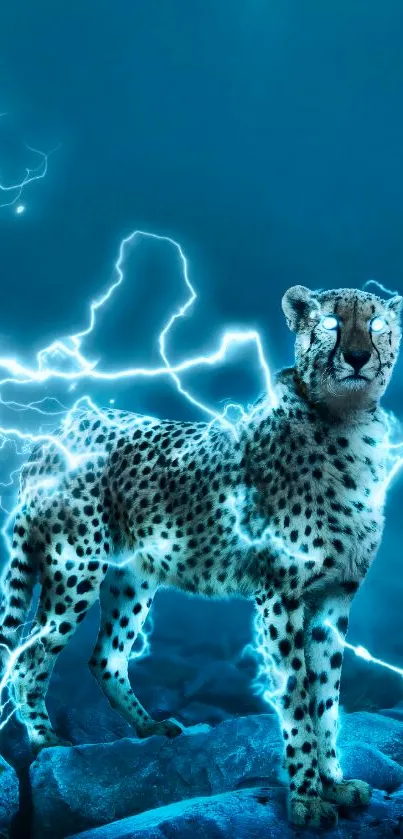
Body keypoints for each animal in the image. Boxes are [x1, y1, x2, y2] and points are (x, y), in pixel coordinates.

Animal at [0, 284, 401, 828]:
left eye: (377, 324)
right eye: (331, 324)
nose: (358, 357)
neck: (349, 422)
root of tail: (60, 429)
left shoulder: (334, 599)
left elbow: (326, 697)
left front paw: (334, 783)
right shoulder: (281, 596)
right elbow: (297, 697)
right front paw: (304, 798)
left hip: (132, 578)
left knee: (105, 655)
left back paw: (149, 728)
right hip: (74, 569)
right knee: (29, 652)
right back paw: (45, 739)